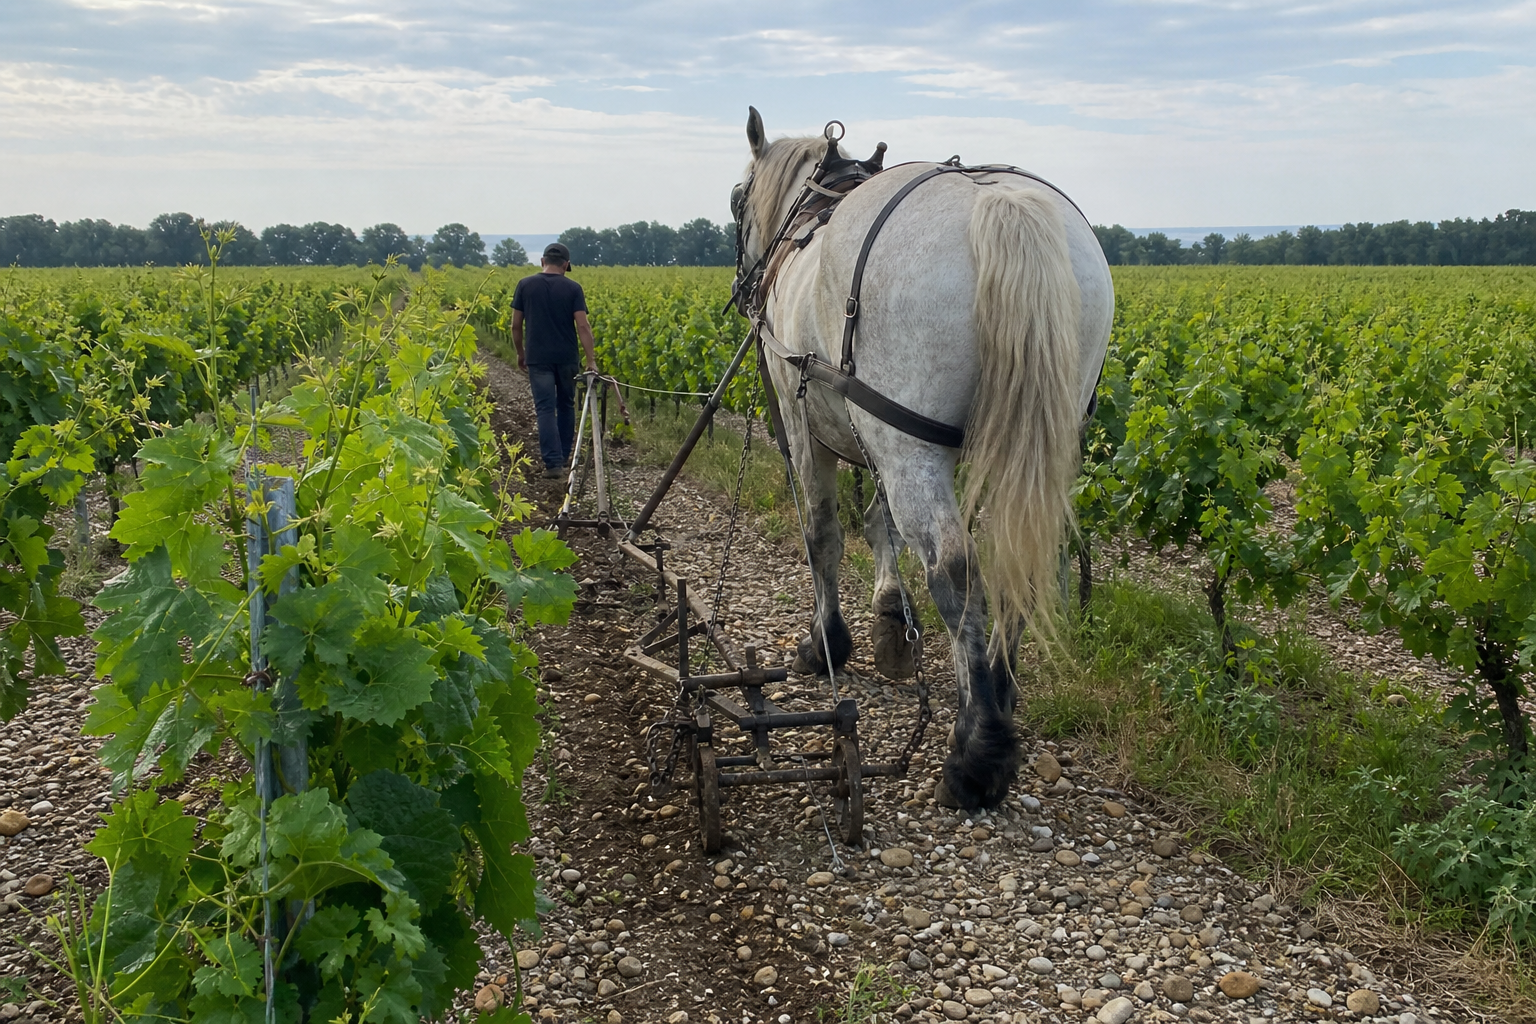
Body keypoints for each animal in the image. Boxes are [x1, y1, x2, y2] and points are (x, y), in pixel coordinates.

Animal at [732, 107, 1113, 811]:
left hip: (905, 438)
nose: (743, 285)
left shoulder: (807, 422)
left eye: (737, 200)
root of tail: (996, 201)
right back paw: (1000, 693)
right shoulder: (880, 437)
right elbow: (879, 524)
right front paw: (890, 623)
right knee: (1019, 557)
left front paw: (826, 645)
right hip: (1022, 442)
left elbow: (822, 534)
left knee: (954, 567)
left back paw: (976, 752)